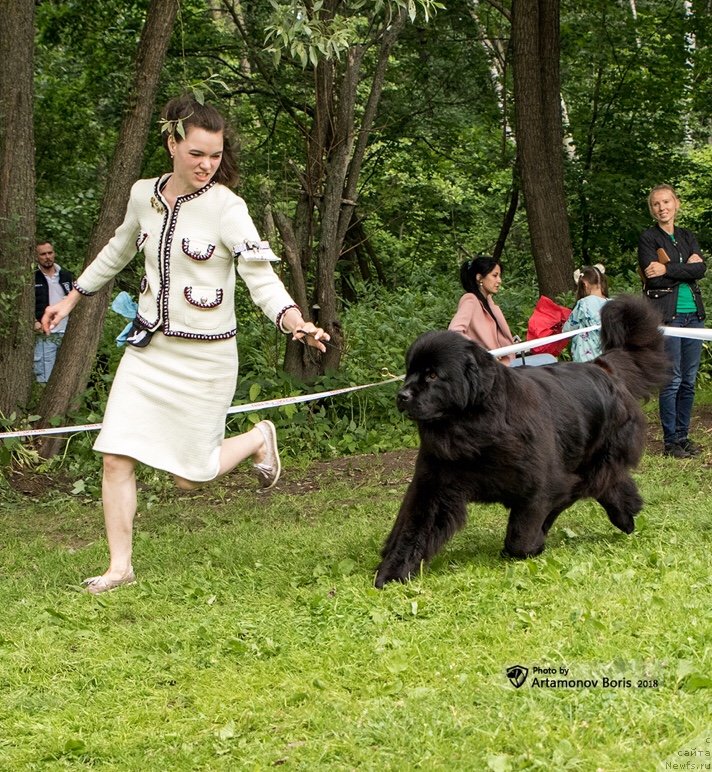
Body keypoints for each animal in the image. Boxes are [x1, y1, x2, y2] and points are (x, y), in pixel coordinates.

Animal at [376, 294, 672, 584]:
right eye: (409, 372)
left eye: (433, 375)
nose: (402, 395)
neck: (475, 429)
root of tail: (603, 367)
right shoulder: (435, 483)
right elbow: (415, 529)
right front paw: (392, 571)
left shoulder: (541, 484)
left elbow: (522, 532)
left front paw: (525, 547)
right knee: (611, 483)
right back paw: (628, 515)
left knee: (590, 486)